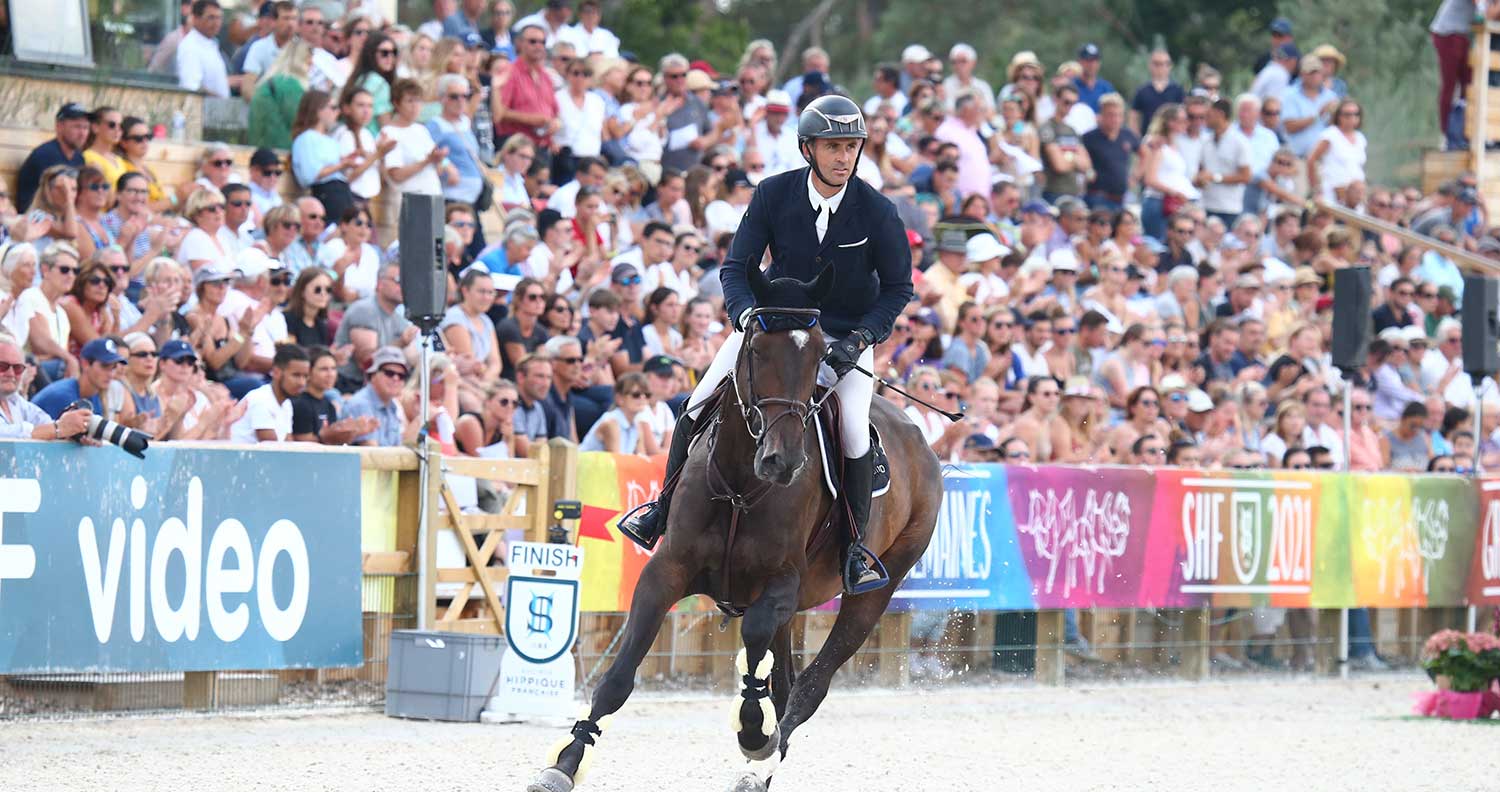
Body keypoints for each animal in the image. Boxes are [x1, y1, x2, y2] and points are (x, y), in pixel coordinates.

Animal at [531, 267, 936, 792]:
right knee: (787, 683)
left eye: (817, 353)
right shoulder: (666, 572)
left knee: (810, 685)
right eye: (758, 349)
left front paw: (752, 732)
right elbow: (620, 675)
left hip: (874, 592)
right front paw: (566, 761)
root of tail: (922, 439)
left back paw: (762, 760)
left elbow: (756, 640)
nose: (783, 461)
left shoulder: (783, 583)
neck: (743, 483)